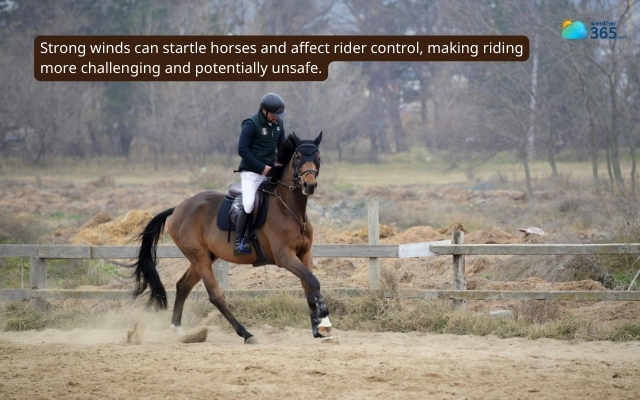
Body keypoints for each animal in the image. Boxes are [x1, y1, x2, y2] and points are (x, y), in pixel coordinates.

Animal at [129, 132, 329, 343]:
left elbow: (309, 286)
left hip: (206, 256)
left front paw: (317, 327)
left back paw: (179, 331)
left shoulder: (304, 254)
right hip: (199, 256)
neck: (290, 209)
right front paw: (324, 313)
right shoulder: (284, 256)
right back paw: (246, 333)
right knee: (215, 296)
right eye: (298, 157)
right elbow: (313, 281)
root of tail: (178, 208)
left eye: (318, 157)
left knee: (183, 285)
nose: (309, 185)